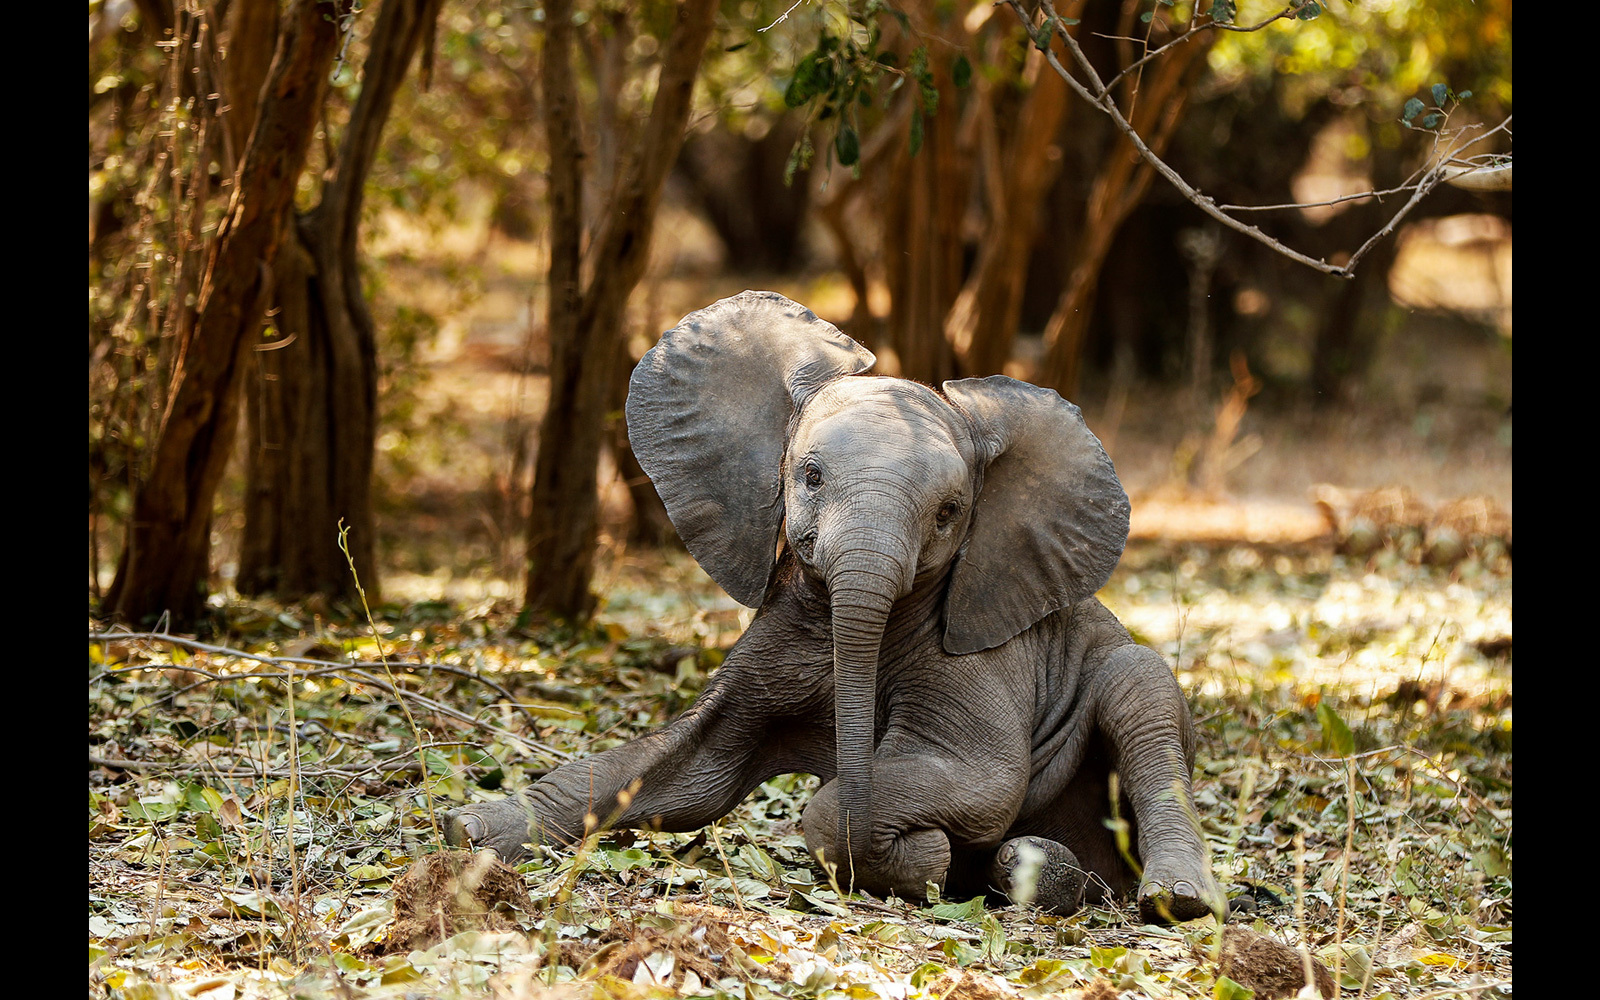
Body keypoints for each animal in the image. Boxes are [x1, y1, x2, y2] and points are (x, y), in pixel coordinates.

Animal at [451, 288, 1222, 921]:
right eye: (811, 476)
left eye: (949, 512)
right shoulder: (777, 631)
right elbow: (688, 768)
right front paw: (469, 830)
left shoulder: (984, 659)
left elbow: (976, 779)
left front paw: (925, 860)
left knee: (1141, 693)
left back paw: (1162, 897)